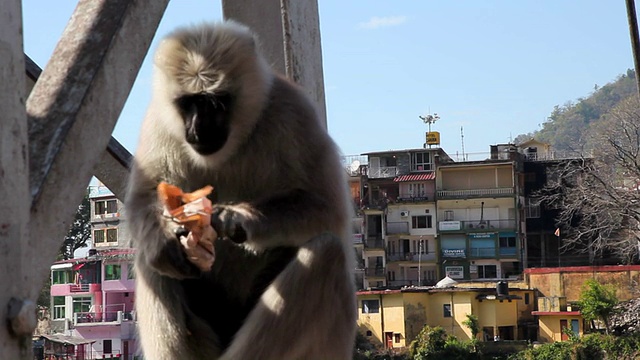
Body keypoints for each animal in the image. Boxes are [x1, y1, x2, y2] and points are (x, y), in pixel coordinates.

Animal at [125, 20, 356, 360]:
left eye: (216, 103)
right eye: (189, 103)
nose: (199, 130)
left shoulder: (294, 111)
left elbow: (329, 210)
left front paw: (236, 219)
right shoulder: (157, 119)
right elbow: (144, 199)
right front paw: (167, 236)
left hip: (329, 345)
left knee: (325, 252)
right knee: (153, 258)